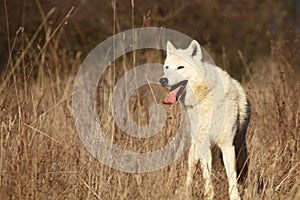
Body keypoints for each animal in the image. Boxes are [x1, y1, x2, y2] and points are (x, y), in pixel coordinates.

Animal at [159, 39, 251, 199]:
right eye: (167, 67)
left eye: (180, 67)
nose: (163, 80)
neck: (206, 96)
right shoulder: (204, 145)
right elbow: (206, 175)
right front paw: (209, 195)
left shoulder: (227, 145)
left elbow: (231, 176)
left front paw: (236, 196)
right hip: (195, 149)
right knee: (190, 174)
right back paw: (186, 193)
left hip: (240, 150)